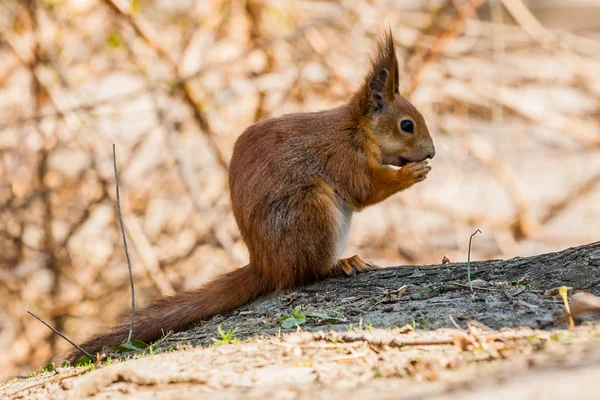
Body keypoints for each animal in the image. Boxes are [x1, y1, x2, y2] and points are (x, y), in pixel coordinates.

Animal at [68, 30, 434, 362]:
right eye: (406, 125)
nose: (431, 152)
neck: (357, 130)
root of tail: (264, 265)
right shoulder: (344, 157)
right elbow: (365, 188)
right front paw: (410, 174)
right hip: (310, 210)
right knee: (306, 272)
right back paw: (340, 263)